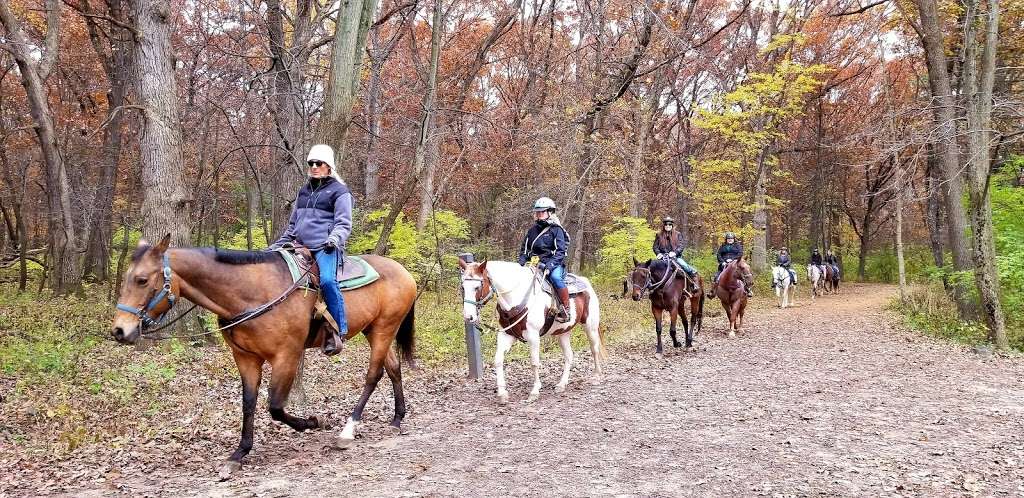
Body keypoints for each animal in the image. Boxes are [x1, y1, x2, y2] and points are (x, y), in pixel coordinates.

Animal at [111, 237, 415, 479]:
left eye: (142, 280)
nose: (119, 331)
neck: (251, 294)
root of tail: (405, 272)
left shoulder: (287, 355)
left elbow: (275, 407)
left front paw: (312, 422)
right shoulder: (245, 358)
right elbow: (249, 402)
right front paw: (239, 453)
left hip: (384, 328)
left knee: (374, 374)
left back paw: (348, 430)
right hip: (373, 329)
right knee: (393, 368)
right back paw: (397, 418)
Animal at [460, 260, 602, 403]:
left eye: (477, 287)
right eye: (462, 287)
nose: (468, 317)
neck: (516, 298)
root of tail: (585, 282)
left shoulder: (533, 337)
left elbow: (534, 363)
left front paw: (534, 391)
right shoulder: (506, 335)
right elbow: (498, 360)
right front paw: (502, 393)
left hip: (590, 326)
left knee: (594, 349)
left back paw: (596, 376)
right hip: (563, 332)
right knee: (569, 355)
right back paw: (561, 384)